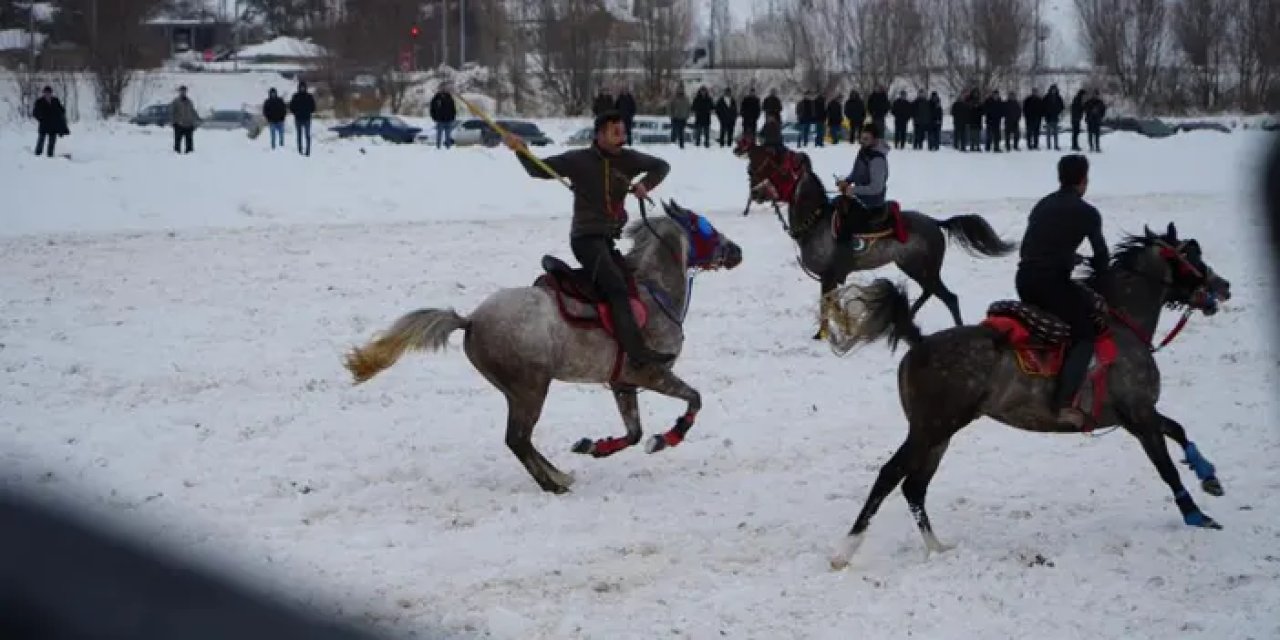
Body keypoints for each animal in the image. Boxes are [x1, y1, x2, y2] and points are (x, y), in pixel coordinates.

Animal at [345, 199, 747, 494]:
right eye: (704, 226)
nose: (737, 251)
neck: (653, 290)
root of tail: (471, 320)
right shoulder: (651, 372)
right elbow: (693, 400)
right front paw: (666, 438)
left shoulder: (622, 383)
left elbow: (633, 432)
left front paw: (595, 446)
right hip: (531, 388)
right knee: (517, 439)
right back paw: (554, 483)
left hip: (518, 391)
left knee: (520, 440)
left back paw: (558, 474)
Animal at [737, 135, 1013, 340]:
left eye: (780, 170)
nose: (755, 192)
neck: (816, 221)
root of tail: (935, 223)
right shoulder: (830, 278)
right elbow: (835, 307)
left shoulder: (828, 276)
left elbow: (827, 306)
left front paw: (822, 335)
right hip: (915, 267)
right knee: (929, 293)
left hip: (923, 268)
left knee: (949, 297)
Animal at [824, 221, 1233, 570]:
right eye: (1192, 255)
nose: (1224, 286)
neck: (1121, 324)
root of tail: (920, 342)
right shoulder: (1139, 416)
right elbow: (1166, 467)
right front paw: (1197, 515)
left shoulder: (1137, 414)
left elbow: (1178, 430)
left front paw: (1209, 476)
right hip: (930, 429)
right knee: (890, 476)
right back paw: (845, 551)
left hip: (938, 433)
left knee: (914, 487)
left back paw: (937, 547)